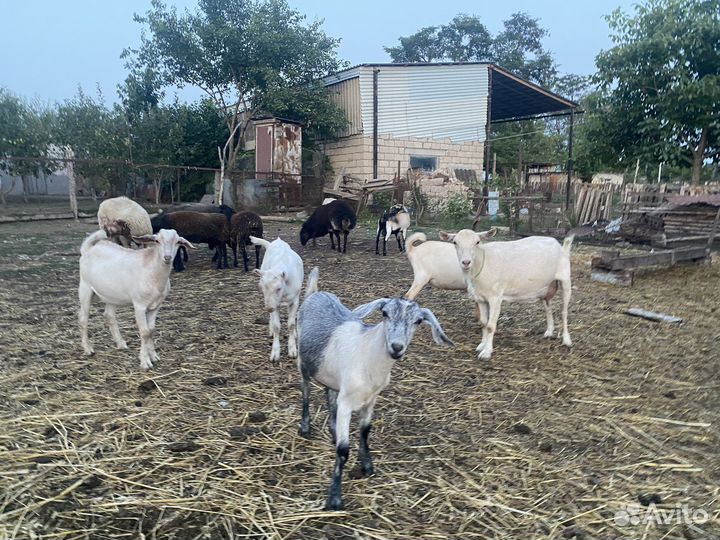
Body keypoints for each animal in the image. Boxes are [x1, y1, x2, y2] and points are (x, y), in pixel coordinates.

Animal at [78, 228, 194, 369]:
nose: (167, 257)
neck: (153, 273)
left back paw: (121, 343)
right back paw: (88, 349)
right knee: (83, 318)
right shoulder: (139, 305)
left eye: (178, 242)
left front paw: (153, 356)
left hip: (111, 294)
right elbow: (144, 332)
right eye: (157, 241)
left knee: (109, 315)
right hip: (85, 287)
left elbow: (151, 330)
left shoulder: (156, 306)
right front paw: (145, 362)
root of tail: (88, 249)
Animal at [297, 267, 453, 510]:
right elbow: (343, 450)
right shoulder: (347, 403)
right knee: (305, 390)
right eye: (385, 313)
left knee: (328, 392)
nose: (396, 347)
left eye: (418, 321)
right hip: (302, 361)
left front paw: (367, 465)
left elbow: (365, 431)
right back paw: (305, 427)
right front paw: (334, 498)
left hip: (330, 373)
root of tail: (315, 292)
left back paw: (332, 430)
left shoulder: (371, 399)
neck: (368, 354)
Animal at [440, 228, 574, 359]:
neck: (483, 262)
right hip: (546, 287)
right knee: (548, 307)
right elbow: (483, 323)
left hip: (565, 278)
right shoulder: (480, 298)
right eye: (455, 242)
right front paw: (481, 345)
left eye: (477, 242)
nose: (466, 262)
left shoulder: (495, 297)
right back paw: (549, 332)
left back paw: (567, 340)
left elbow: (490, 326)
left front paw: (486, 352)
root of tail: (560, 246)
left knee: (564, 311)